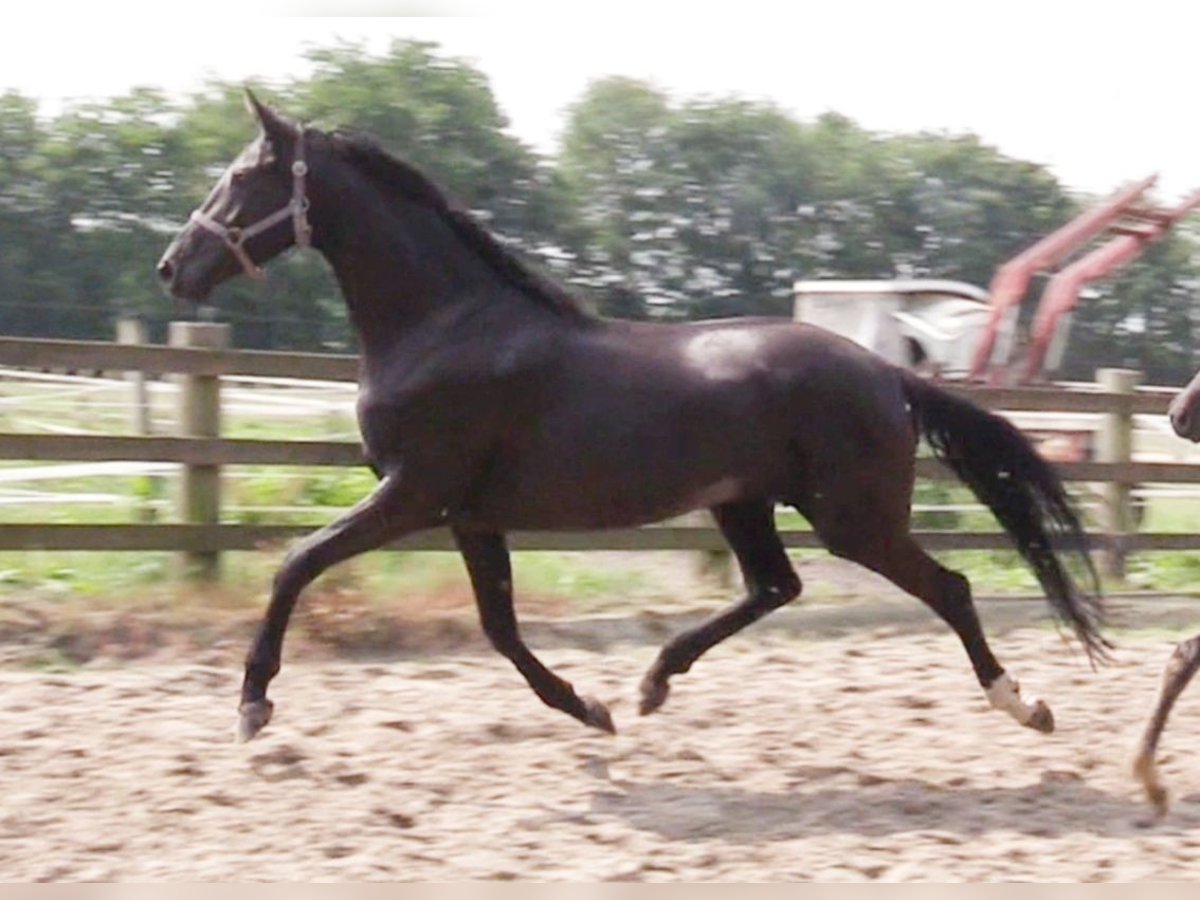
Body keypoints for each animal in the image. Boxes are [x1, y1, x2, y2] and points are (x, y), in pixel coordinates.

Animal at [157, 95, 1104, 748]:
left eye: (243, 179)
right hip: (744, 502)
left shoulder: (413, 494)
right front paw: (591, 708)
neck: (447, 325)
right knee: (775, 587)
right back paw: (652, 682)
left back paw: (1026, 705)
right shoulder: (467, 513)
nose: (174, 267)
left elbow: (295, 563)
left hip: (852, 517)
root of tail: (884, 370)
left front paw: (252, 704)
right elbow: (499, 628)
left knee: (948, 589)